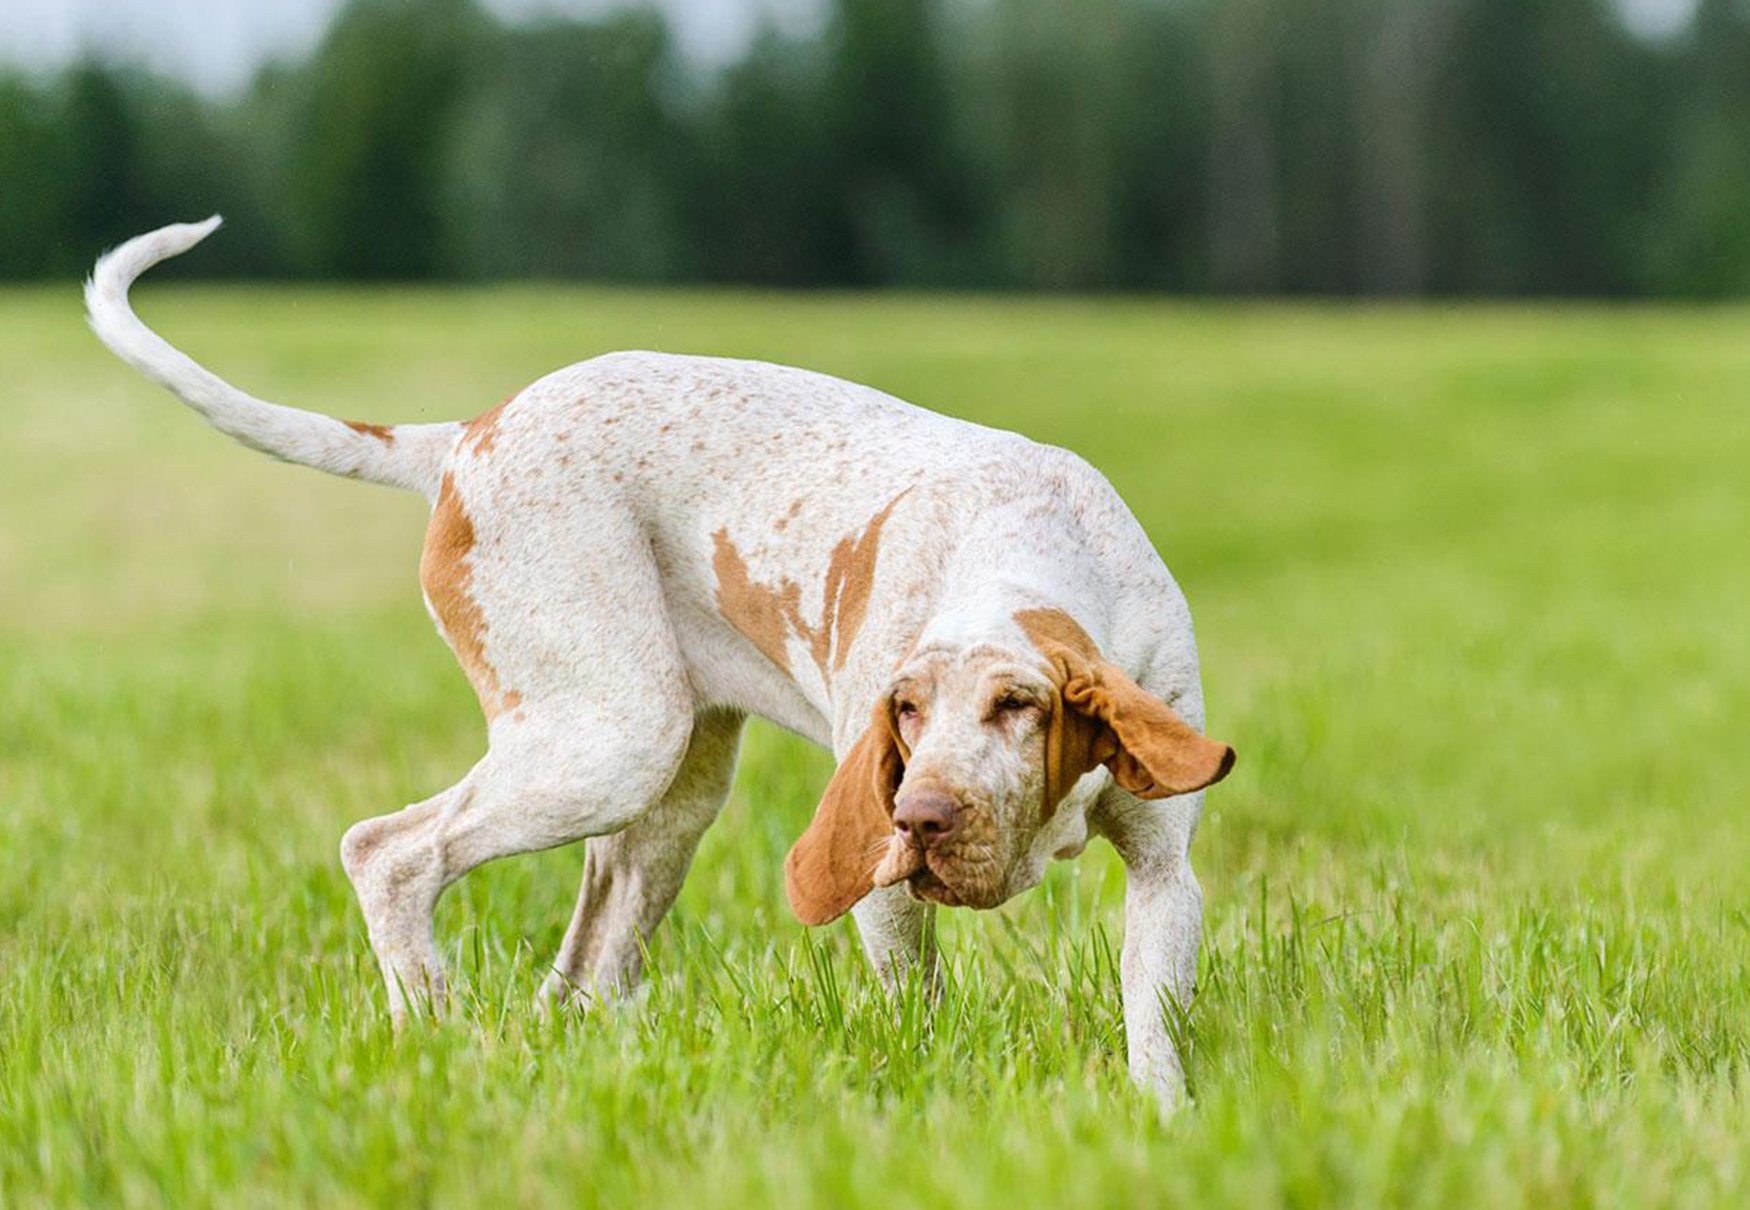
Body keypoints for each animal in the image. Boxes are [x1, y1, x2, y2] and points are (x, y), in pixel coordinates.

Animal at [82, 218, 1232, 1106]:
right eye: (903, 710)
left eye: (1018, 704)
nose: (923, 818)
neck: (1032, 543)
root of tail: (463, 437)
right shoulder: (882, 885)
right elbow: (924, 1011)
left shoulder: (1165, 879)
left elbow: (1153, 1037)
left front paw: (1158, 1126)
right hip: (614, 742)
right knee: (388, 852)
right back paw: (435, 1027)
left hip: (668, 801)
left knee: (580, 976)